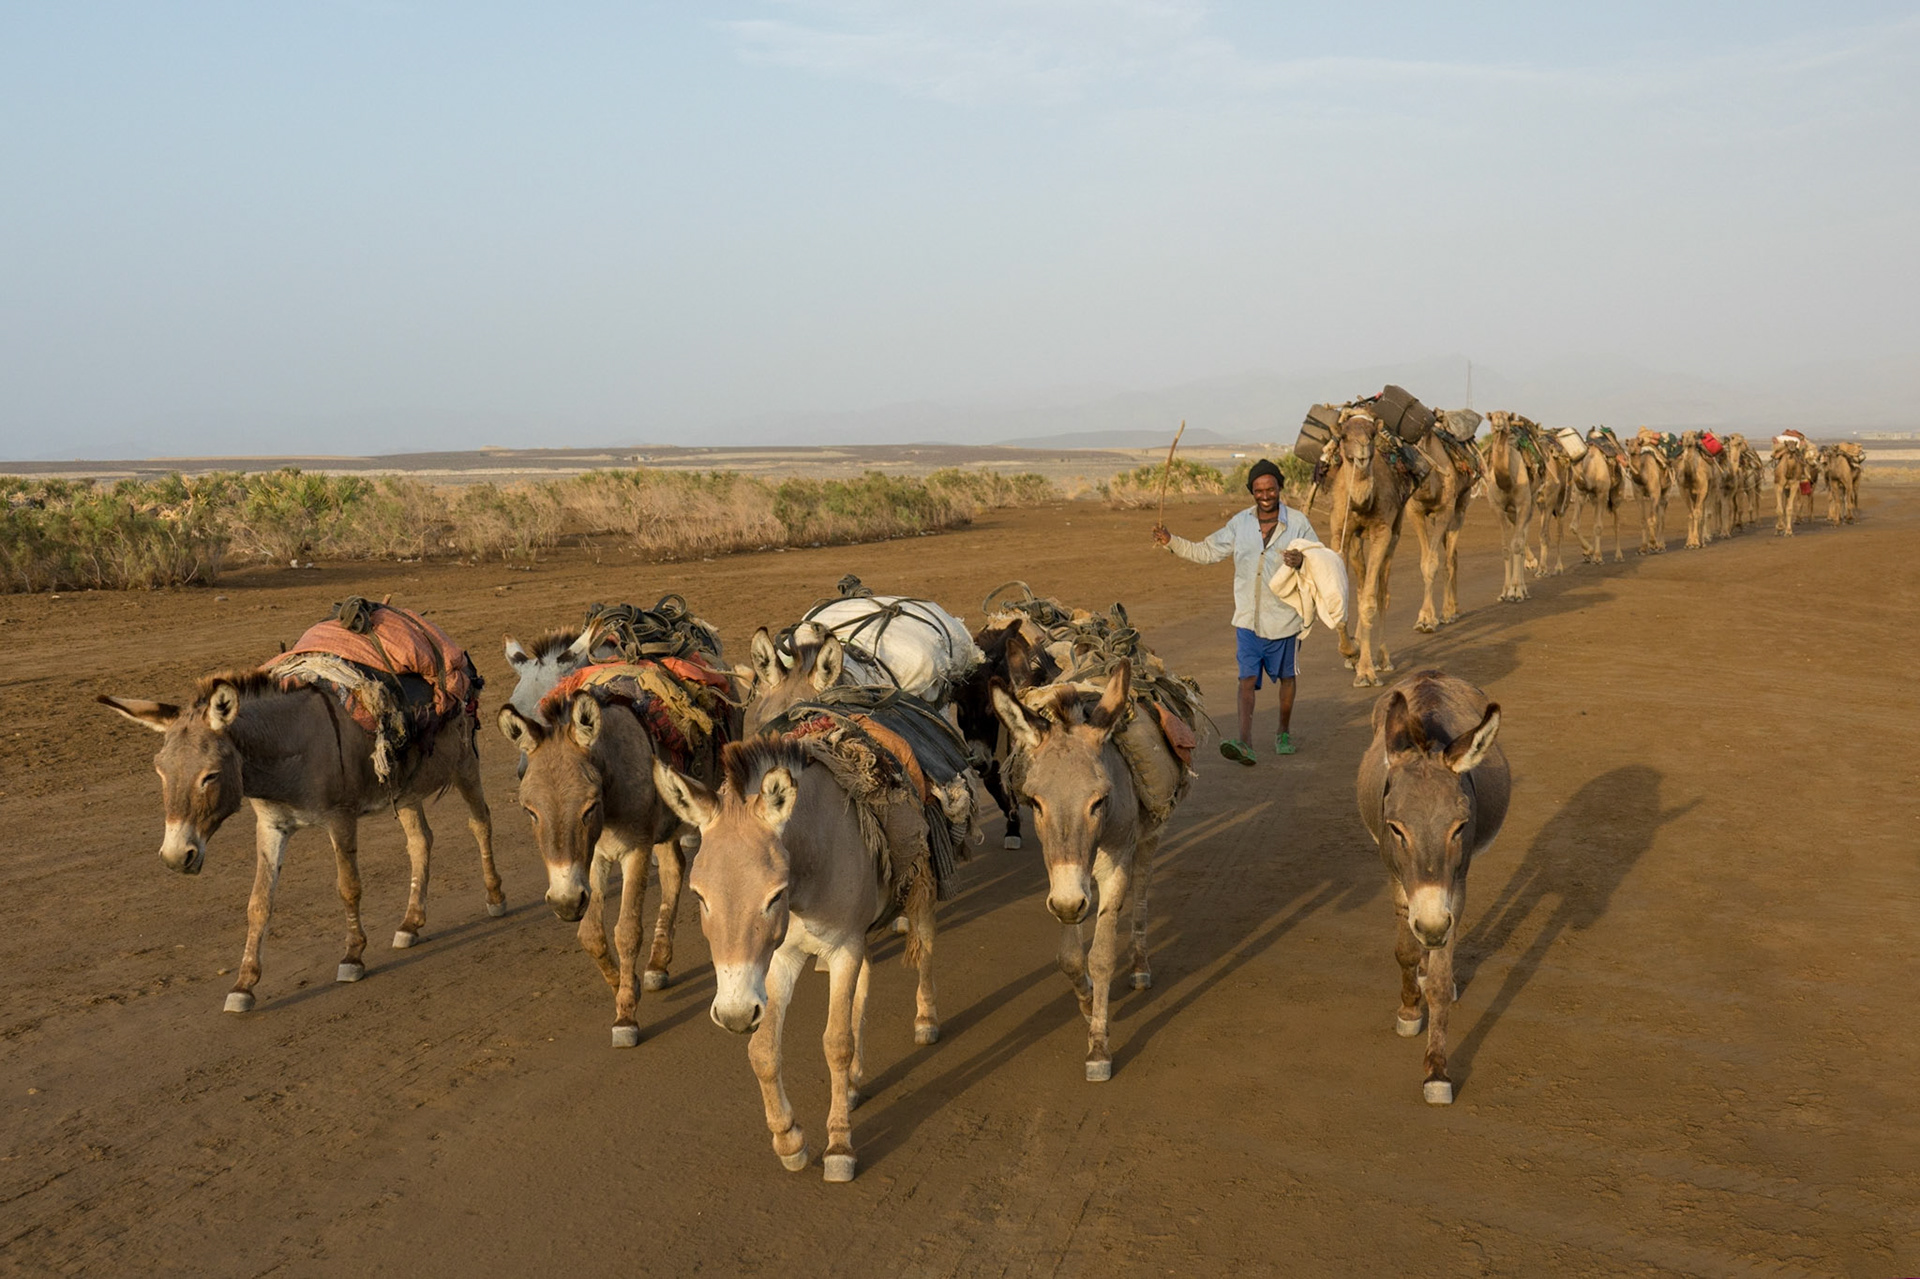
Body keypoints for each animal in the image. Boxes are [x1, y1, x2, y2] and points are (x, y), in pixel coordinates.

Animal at [1328, 408, 1415, 686]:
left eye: (1372, 435)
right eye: (1344, 436)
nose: (1363, 452)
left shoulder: (1382, 532)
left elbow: (1369, 601)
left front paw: (1366, 671)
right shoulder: (1339, 534)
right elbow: (1341, 594)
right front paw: (1351, 651)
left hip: (1395, 532)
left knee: (1381, 591)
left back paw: (1382, 659)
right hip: (1357, 541)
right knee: (1361, 581)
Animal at [1480, 412, 1538, 603]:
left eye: (1506, 416)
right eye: (1492, 417)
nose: (1499, 423)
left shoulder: (1523, 504)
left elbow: (1517, 545)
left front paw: (1516, 591)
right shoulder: (1497, 508)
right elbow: (1506, 547)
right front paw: (1505, 592)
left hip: (1529, 506)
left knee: (1521, 539)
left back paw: (1523, 588)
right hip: (1513, 513)